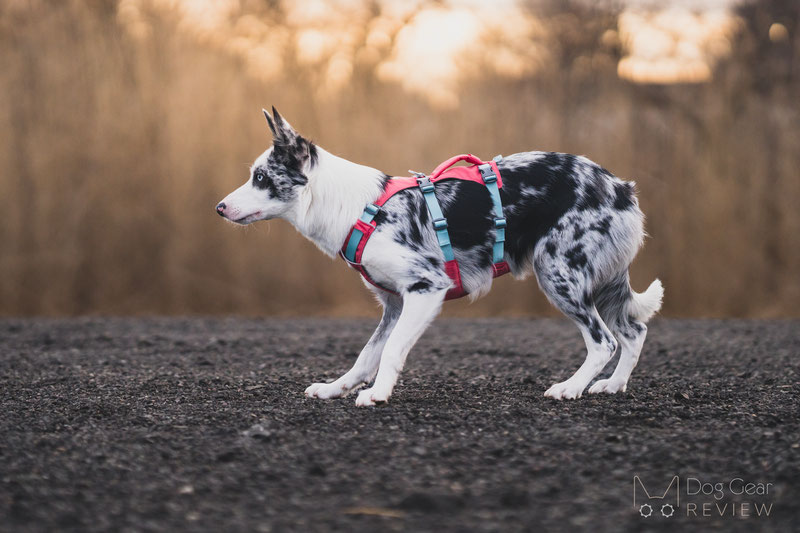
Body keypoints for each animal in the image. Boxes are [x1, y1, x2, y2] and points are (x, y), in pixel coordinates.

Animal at [217, 109, 664, 408]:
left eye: (260, 178)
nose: (219, 208)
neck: (357, 208)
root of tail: (621, 188)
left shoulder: (425, 289)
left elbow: (392, 351)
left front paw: (378, 394)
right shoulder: (394, 304)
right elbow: (366, 355)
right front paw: (336, 388)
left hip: (557, 274)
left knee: (604, 340)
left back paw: (571, 387)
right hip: (599, 283)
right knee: (633, 331)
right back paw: (612, 385)